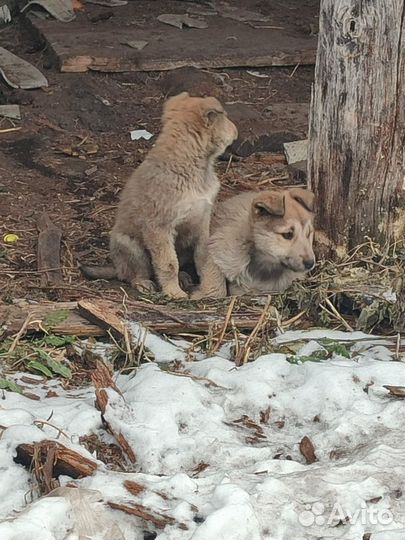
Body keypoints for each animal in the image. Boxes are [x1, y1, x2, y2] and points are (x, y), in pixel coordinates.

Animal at [81, 90, 237, 298]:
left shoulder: (202, 222)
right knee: (133, 274)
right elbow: (168, 264)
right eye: (225, 117)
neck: (192, 167)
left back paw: (183, 278)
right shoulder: (159, 227)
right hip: (130, 246)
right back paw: (144, 283)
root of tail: (115, 267)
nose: (236, 130)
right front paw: (174, 293)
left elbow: (204, 258)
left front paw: (209, 288)